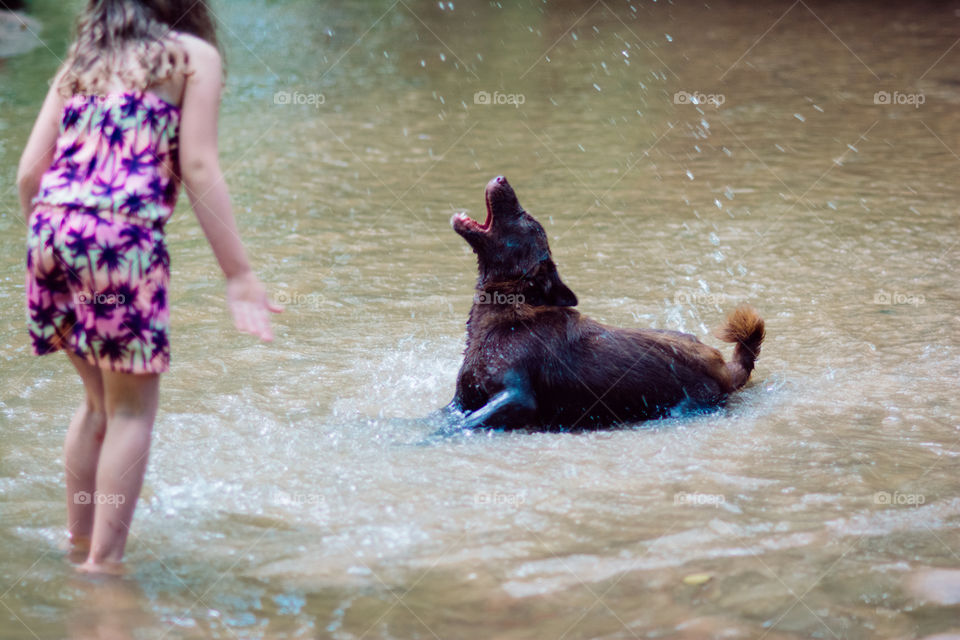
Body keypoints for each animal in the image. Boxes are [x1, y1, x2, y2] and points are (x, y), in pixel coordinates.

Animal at [440, 175, 764, 430]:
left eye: (525, 218)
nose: (501, 177)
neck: (507, 311)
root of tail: (725, 370)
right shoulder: (462, 399)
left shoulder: (517, 397)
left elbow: (454, 427)